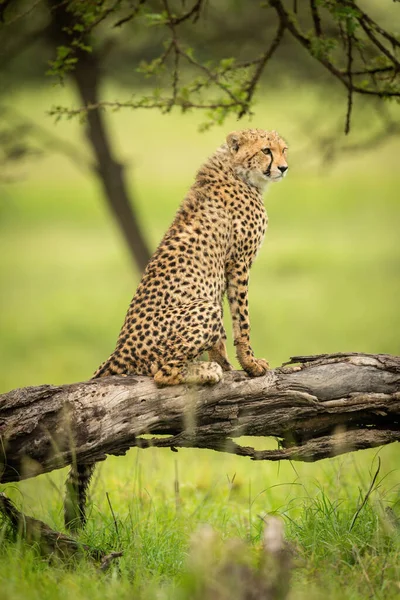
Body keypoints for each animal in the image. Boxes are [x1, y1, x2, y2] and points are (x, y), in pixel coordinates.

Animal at [65, 127, 288, 528]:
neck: (237, 172)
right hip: (200, 311)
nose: (283, 167)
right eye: (266, 150)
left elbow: (224, 334)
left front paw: (229, 362)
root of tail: (118, 349)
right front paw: (249, 364)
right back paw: (205, 372)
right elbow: (241, 320)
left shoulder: (222, 275)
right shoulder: (238, 264)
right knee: (162, 373)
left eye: (283, 149)